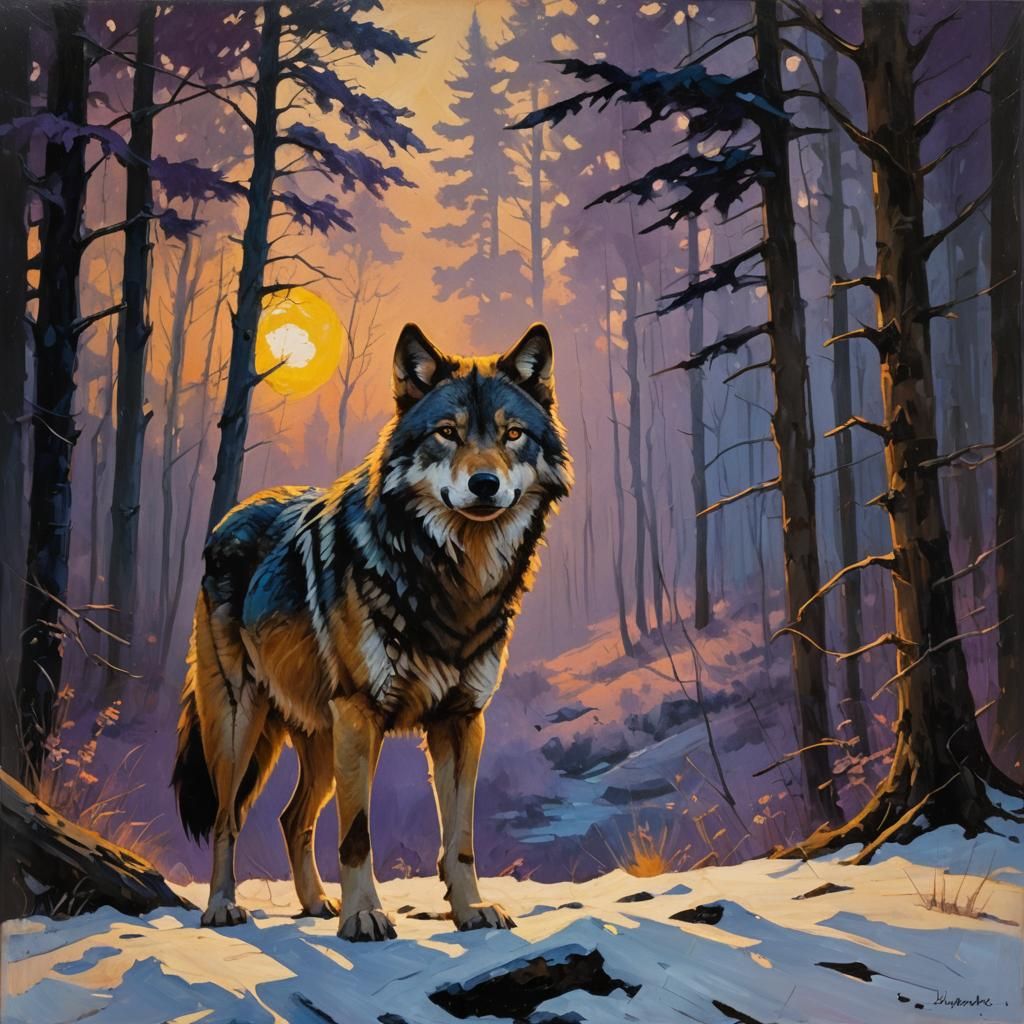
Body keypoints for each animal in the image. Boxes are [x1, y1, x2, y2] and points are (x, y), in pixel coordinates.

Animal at [172, 323, 571, 940]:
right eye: (447, 433)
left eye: (513, 434)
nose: (485, 484)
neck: (450, 580)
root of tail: (231, 518)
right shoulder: (360, 714)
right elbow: (358, 835)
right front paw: (364, 915)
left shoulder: (462, 720)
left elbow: (460, 837)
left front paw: (470, 910)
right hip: (241, 725)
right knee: (226, 818)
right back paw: (222, 907)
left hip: (318, 738)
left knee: (291, 818)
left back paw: (316, 903)